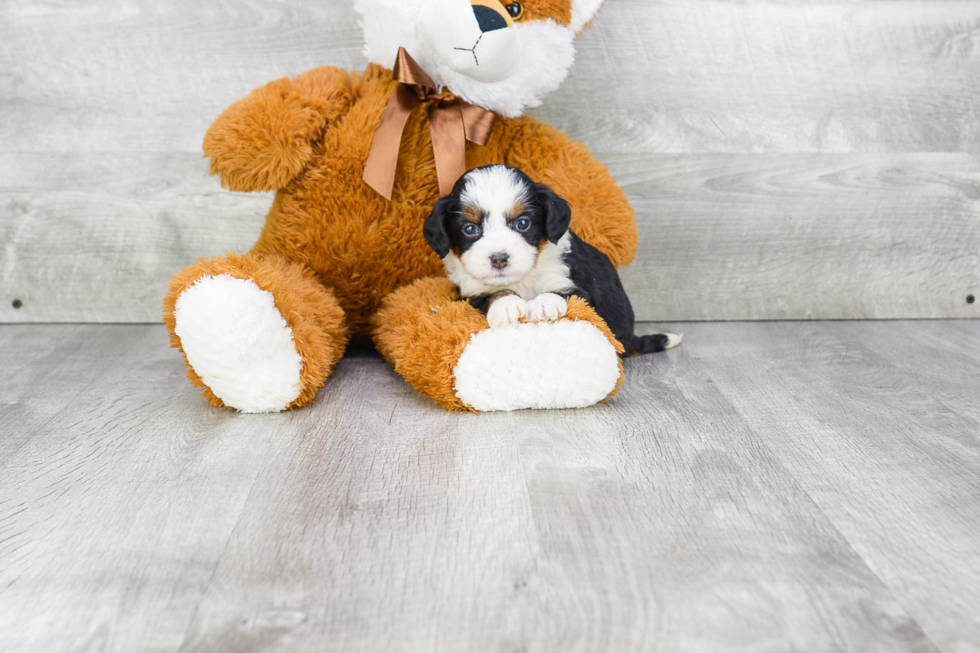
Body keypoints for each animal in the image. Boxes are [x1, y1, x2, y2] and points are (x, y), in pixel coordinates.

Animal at [422, 163, 680, 356]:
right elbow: (493, 293)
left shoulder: (580, 289)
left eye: (523, 223)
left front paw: (543, 304)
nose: (499, 259)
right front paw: (506, 303)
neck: (523, 280)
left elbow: (562, 293)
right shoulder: (471, 294)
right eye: (469, 229)